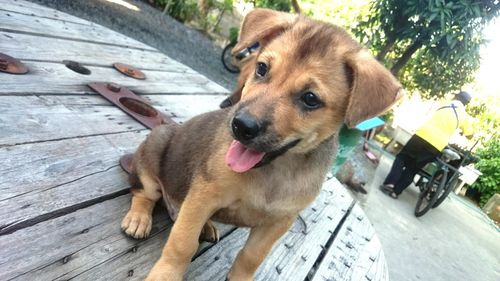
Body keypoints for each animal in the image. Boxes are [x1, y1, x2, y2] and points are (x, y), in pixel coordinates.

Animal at [121, 8, 402, 280]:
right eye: (262, 69)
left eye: (310, 99)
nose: (241, 126)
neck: (275, 169)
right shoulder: (203, 196)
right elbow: (182, 244)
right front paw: (165, 274)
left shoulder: (277, 222)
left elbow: (250, 257)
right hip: (155, 149)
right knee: (144, 193)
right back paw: (138, 218)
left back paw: (206, 226)